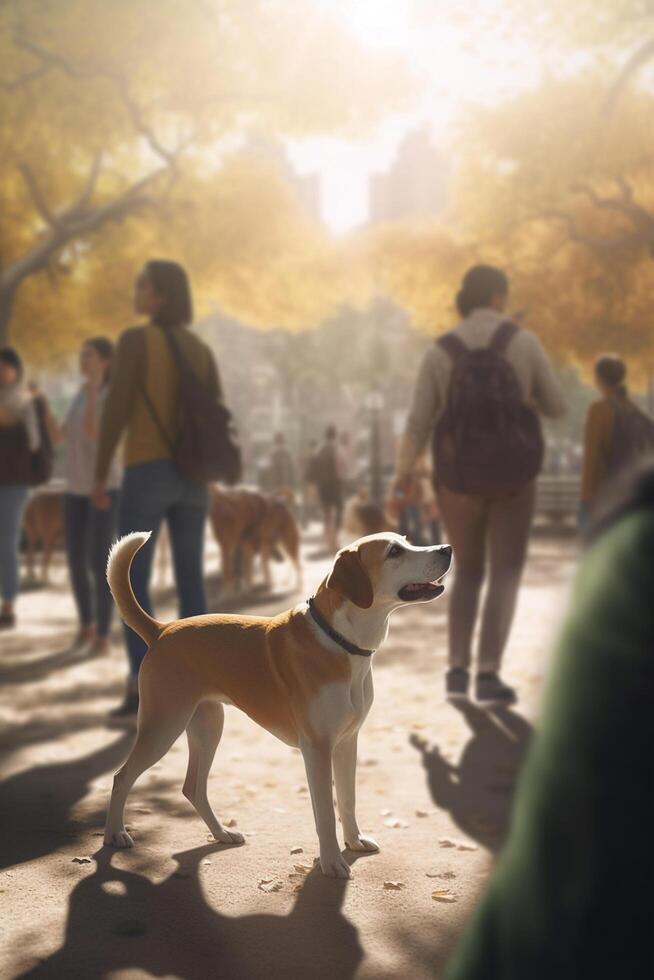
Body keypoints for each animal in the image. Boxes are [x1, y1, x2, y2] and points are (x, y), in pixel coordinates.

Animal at [105, 532, 454, 876]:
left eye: (406, 541)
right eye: (394, 552)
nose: (447, 548)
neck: (338, 640)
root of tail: (162, 630)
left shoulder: (346, 743)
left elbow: (347, 799)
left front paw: (354, 841)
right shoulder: (317, 748)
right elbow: (325, 812)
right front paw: (331, 862)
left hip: (208, 727)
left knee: (193, 787)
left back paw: (221, 833)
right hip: (164, 726)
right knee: (122, 777)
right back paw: (115, 835)